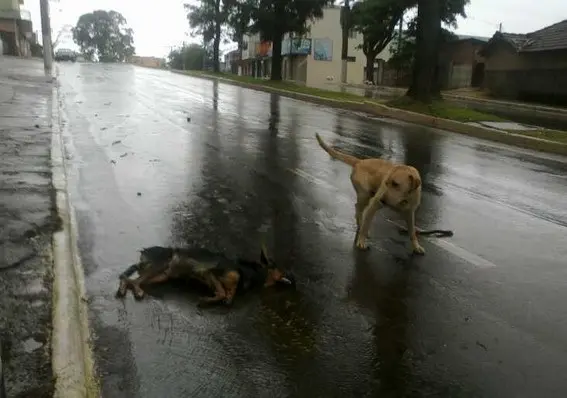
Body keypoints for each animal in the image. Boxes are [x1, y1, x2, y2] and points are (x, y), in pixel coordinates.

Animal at [113, 243, 296, 304]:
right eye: (281, 268)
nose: (294, 279)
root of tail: (144, 253)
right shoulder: (208, 272)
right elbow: (222, 293)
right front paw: (206, 299)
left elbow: (227, 295)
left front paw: (219, 297)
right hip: (161, 264)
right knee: (132, 280)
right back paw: (136, 291)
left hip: (161, 275)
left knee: (128, 279)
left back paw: (125, 289)